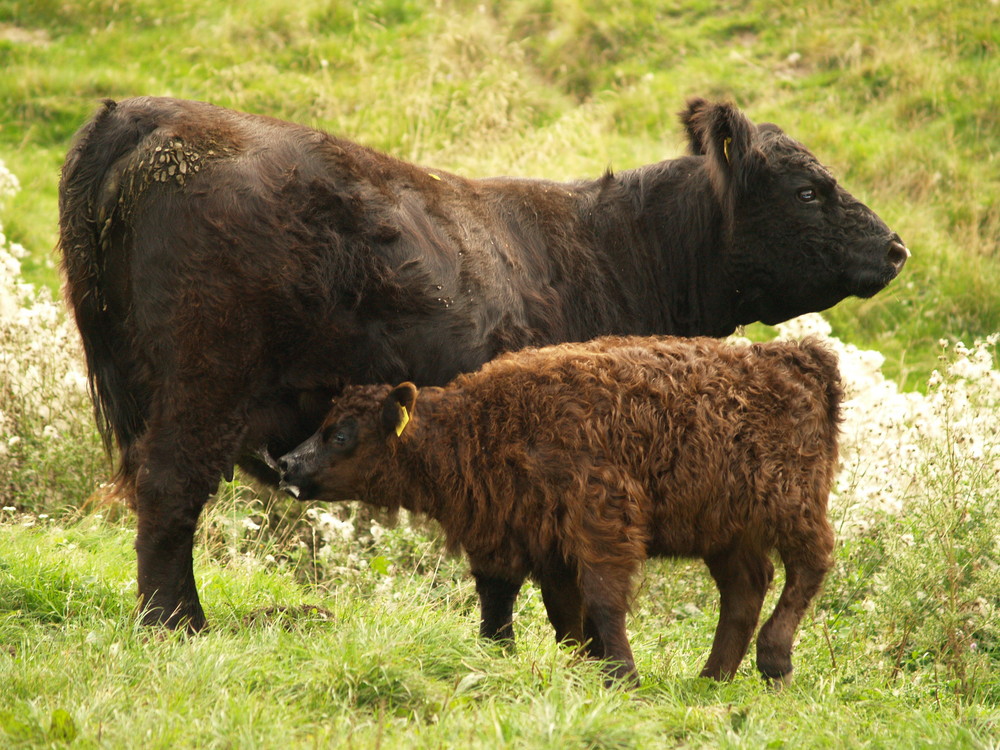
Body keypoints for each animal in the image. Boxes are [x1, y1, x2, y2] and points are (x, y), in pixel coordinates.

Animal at [58, 97, 912, 632]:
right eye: (808, 190)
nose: (896, 247)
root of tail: (153, 113)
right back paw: (179, 626)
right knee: (169, 498)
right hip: (203, 386)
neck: (625, 254)